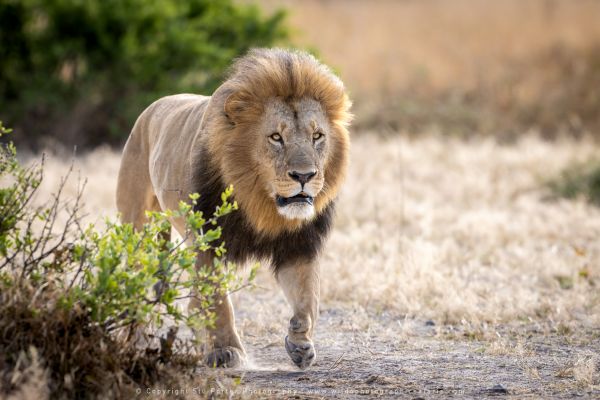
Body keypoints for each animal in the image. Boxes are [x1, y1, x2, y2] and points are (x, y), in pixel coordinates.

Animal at [116, 48, 352, 370]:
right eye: (276, 137)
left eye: (317, 136)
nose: (304, 176)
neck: (262, 203)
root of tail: (153, 106)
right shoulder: (207, 244)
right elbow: (218, 301)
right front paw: (225, 350)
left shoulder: (300, 245)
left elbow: (309, 298)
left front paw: (300, 343)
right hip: (137, 227)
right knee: (138, 278)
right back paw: (136, 338)